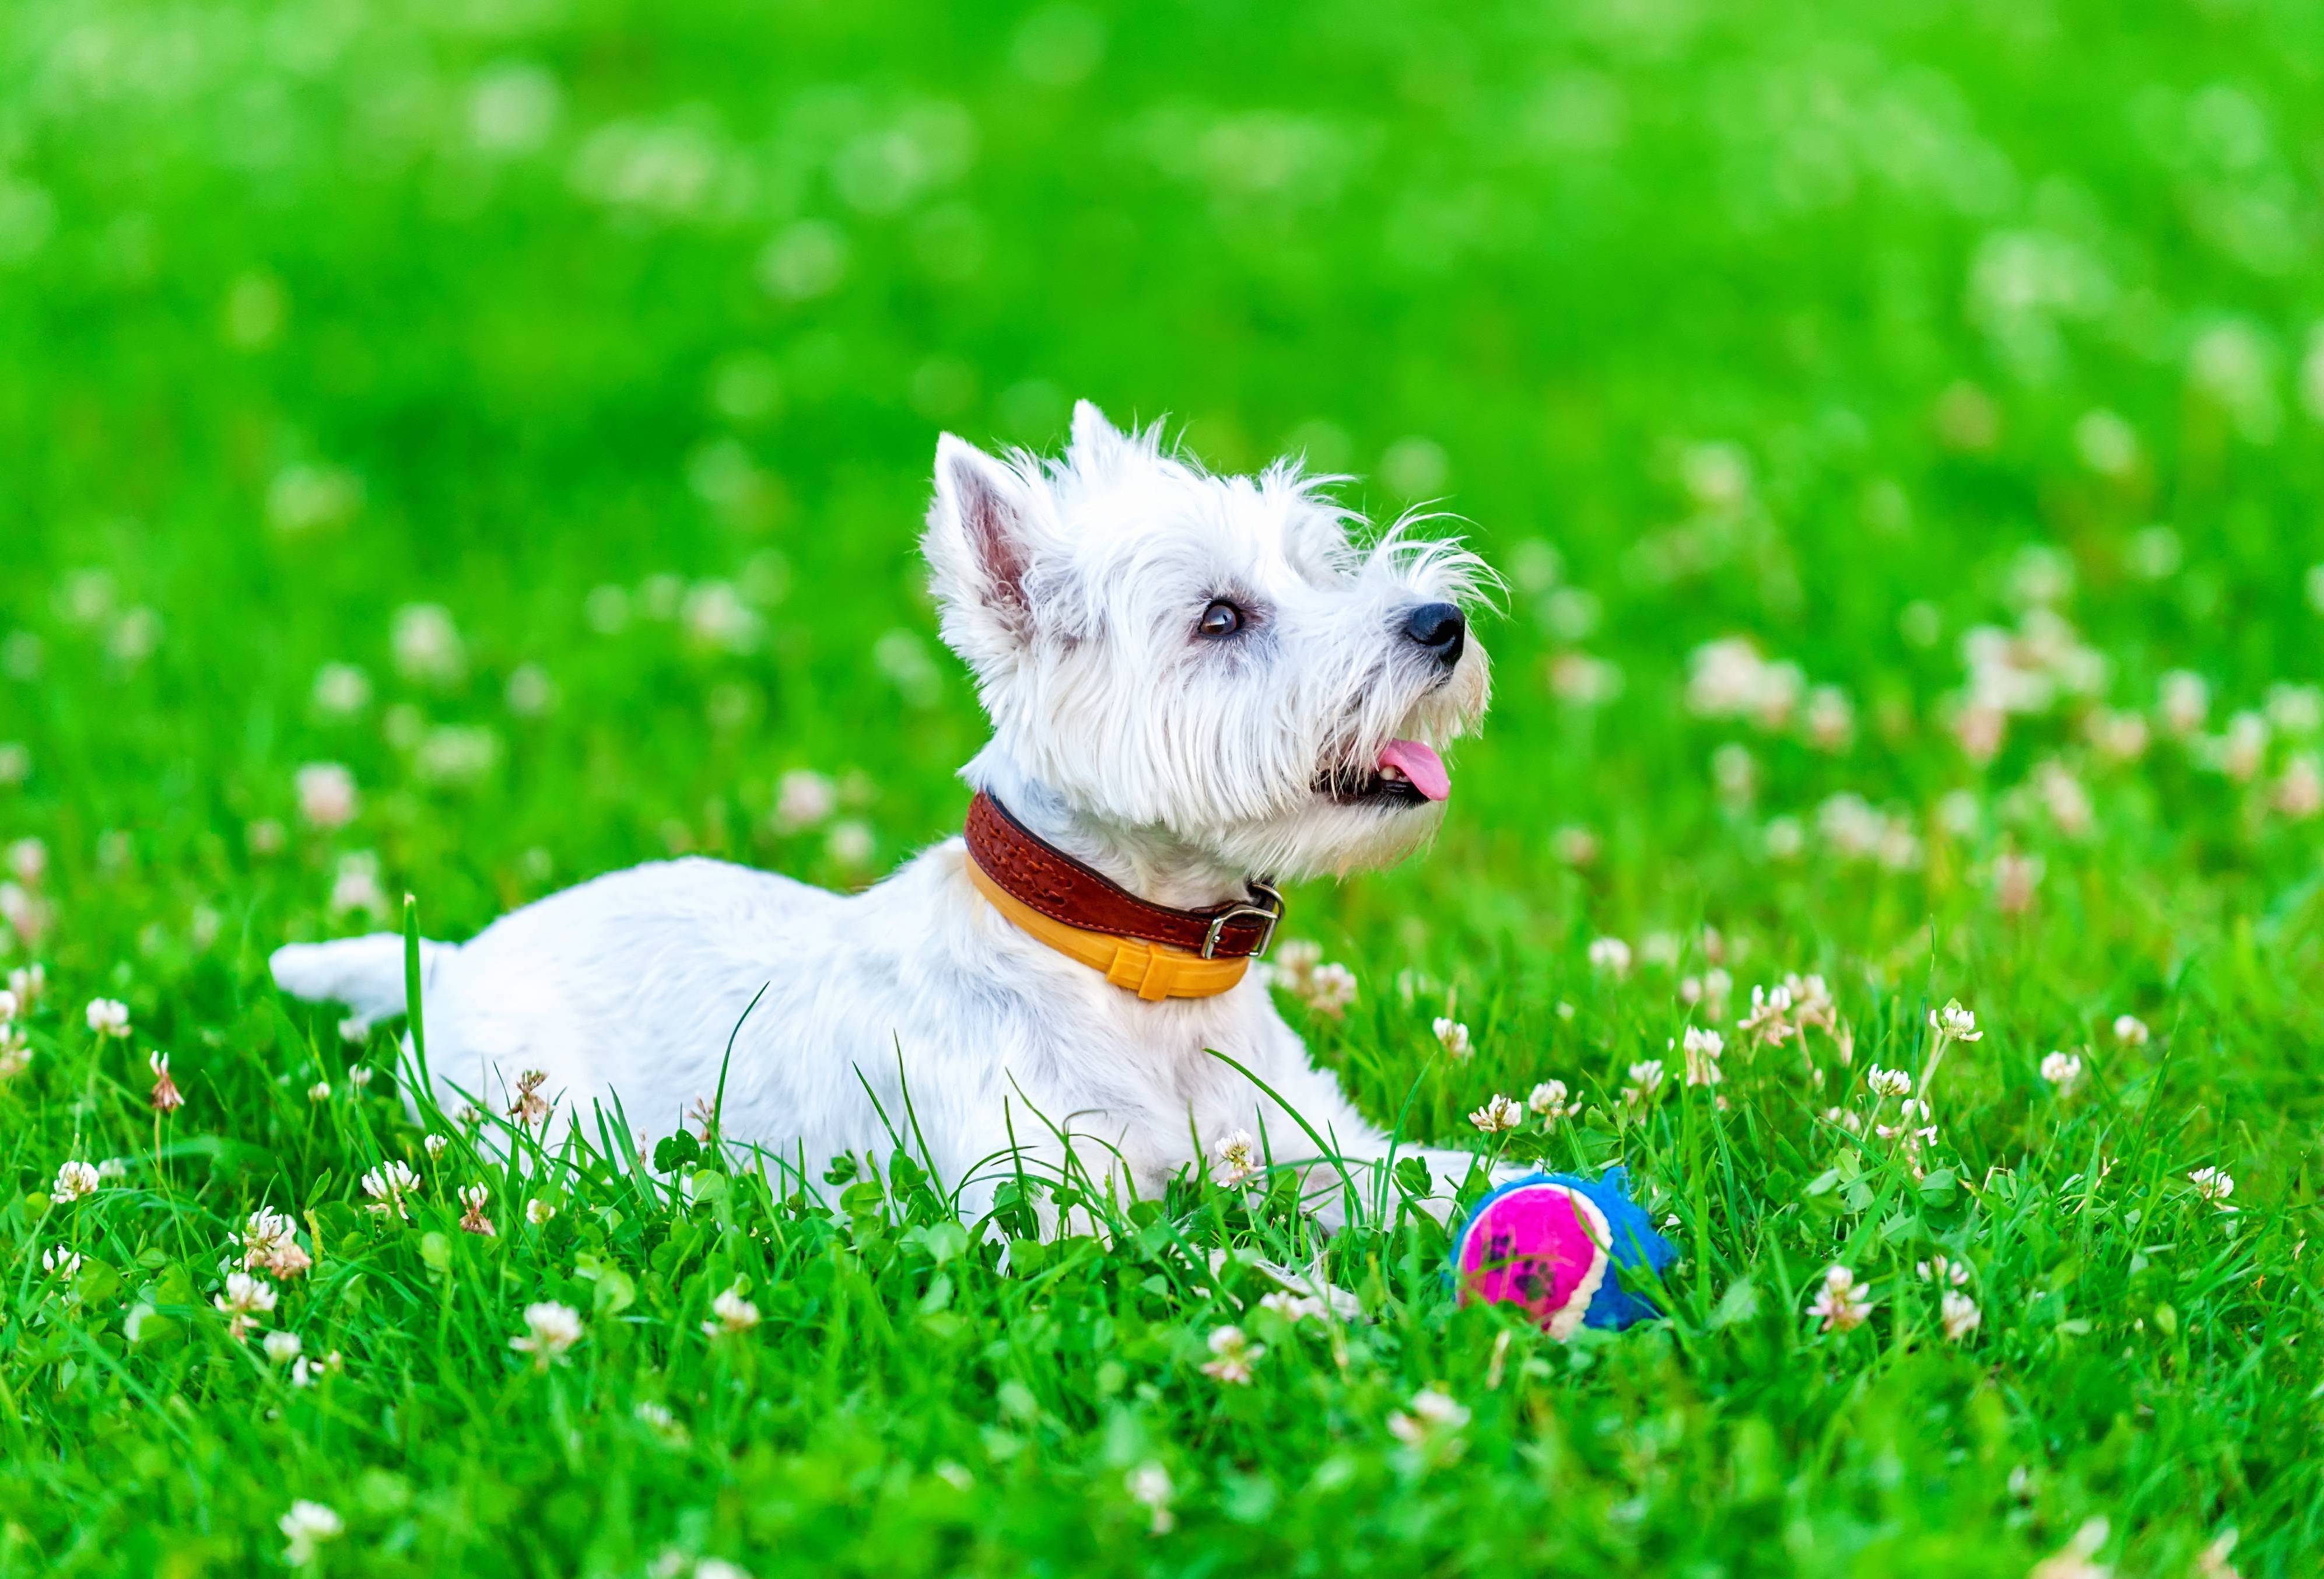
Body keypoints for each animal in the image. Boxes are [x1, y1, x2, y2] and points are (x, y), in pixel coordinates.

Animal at [272, 404, 1496, 1219]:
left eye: (1317, 566)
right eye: (1220, 618)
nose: (1443, 623)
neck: (1134, 967)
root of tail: (455, 959)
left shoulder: (1307, 1140)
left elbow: (1431, 1176)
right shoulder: (1048, 1216)